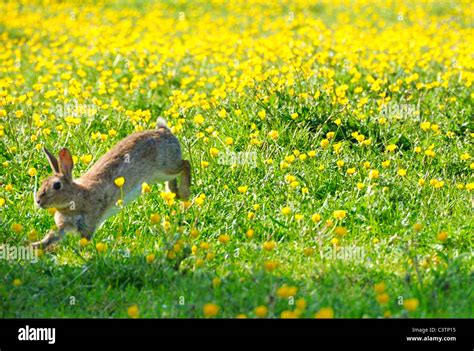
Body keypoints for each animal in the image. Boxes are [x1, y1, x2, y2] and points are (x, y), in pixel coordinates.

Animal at [31, 118, 192, 250]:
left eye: (57, 185)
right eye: (43, 182)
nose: (38, 201)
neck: (76, 196)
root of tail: (164, 131)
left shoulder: (89, 224)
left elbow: (84, 241)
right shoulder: (63, 226)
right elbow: (51, 237)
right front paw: (34, 246)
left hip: (165, 167)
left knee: (185, 164)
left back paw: (184, 193)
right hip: (159, 175)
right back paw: (173, 192)